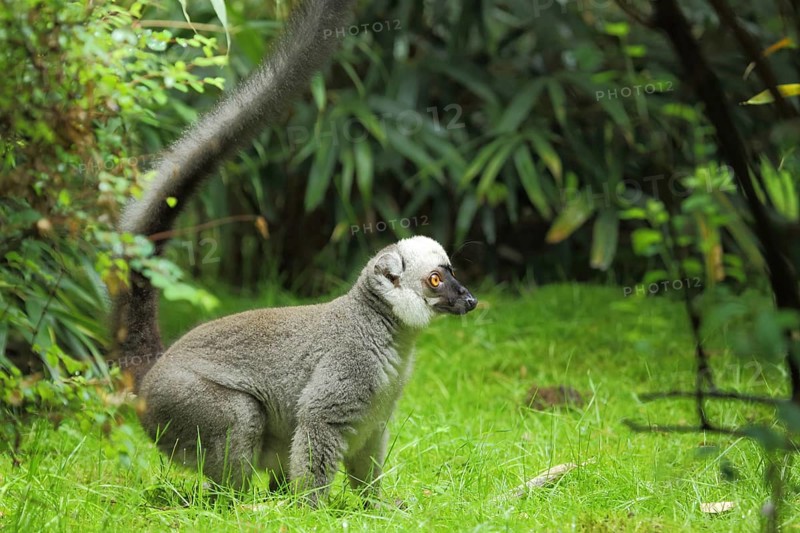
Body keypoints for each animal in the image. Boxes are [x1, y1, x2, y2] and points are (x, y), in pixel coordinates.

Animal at [110, 0, 478, 506]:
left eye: (451, 272)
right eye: (436, 280)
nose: (469, 299)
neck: (385, 330)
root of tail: (150, 375)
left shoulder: (379, 406)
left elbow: (369, 444)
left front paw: (376, 505)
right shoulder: (348, 368)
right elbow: (318, 421)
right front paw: (315, 510)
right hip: (181, 404)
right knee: (241, 417)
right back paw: (236, 503)